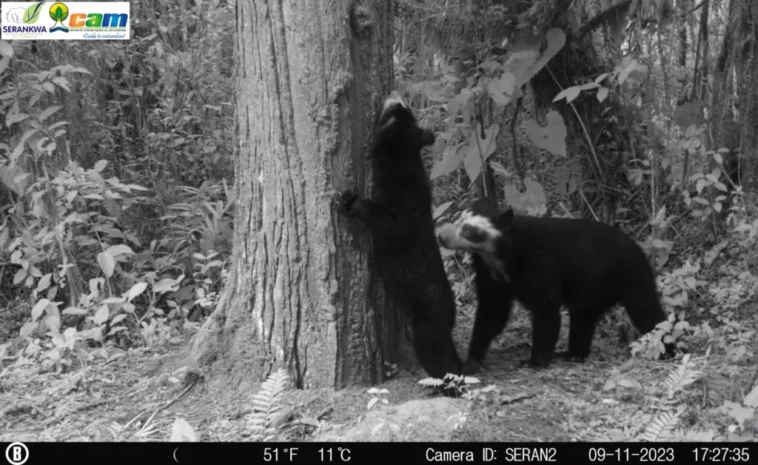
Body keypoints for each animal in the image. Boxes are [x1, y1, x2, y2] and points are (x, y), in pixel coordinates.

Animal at [338, 91, 464, 380]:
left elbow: (390, 228)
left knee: (440, 360)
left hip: (426, 327)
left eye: (396, 115)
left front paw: (350, 201)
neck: (400, 165)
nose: (395, 94)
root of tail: (449, 316)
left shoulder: (404, 208)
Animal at [436, 198, 668, 372]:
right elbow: (492, 312)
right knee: (582, 318)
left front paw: (534, 361)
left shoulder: (540, 262)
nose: (441, 237)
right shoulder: (489, 274)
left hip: (632, 277)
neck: (500, 256)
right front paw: (472, 359)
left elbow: (546, 308)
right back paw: (573, 354)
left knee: (648, 312)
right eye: (458, 219)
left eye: (468, 229)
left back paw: (666, 351)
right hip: (591, 291)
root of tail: (639, 248)